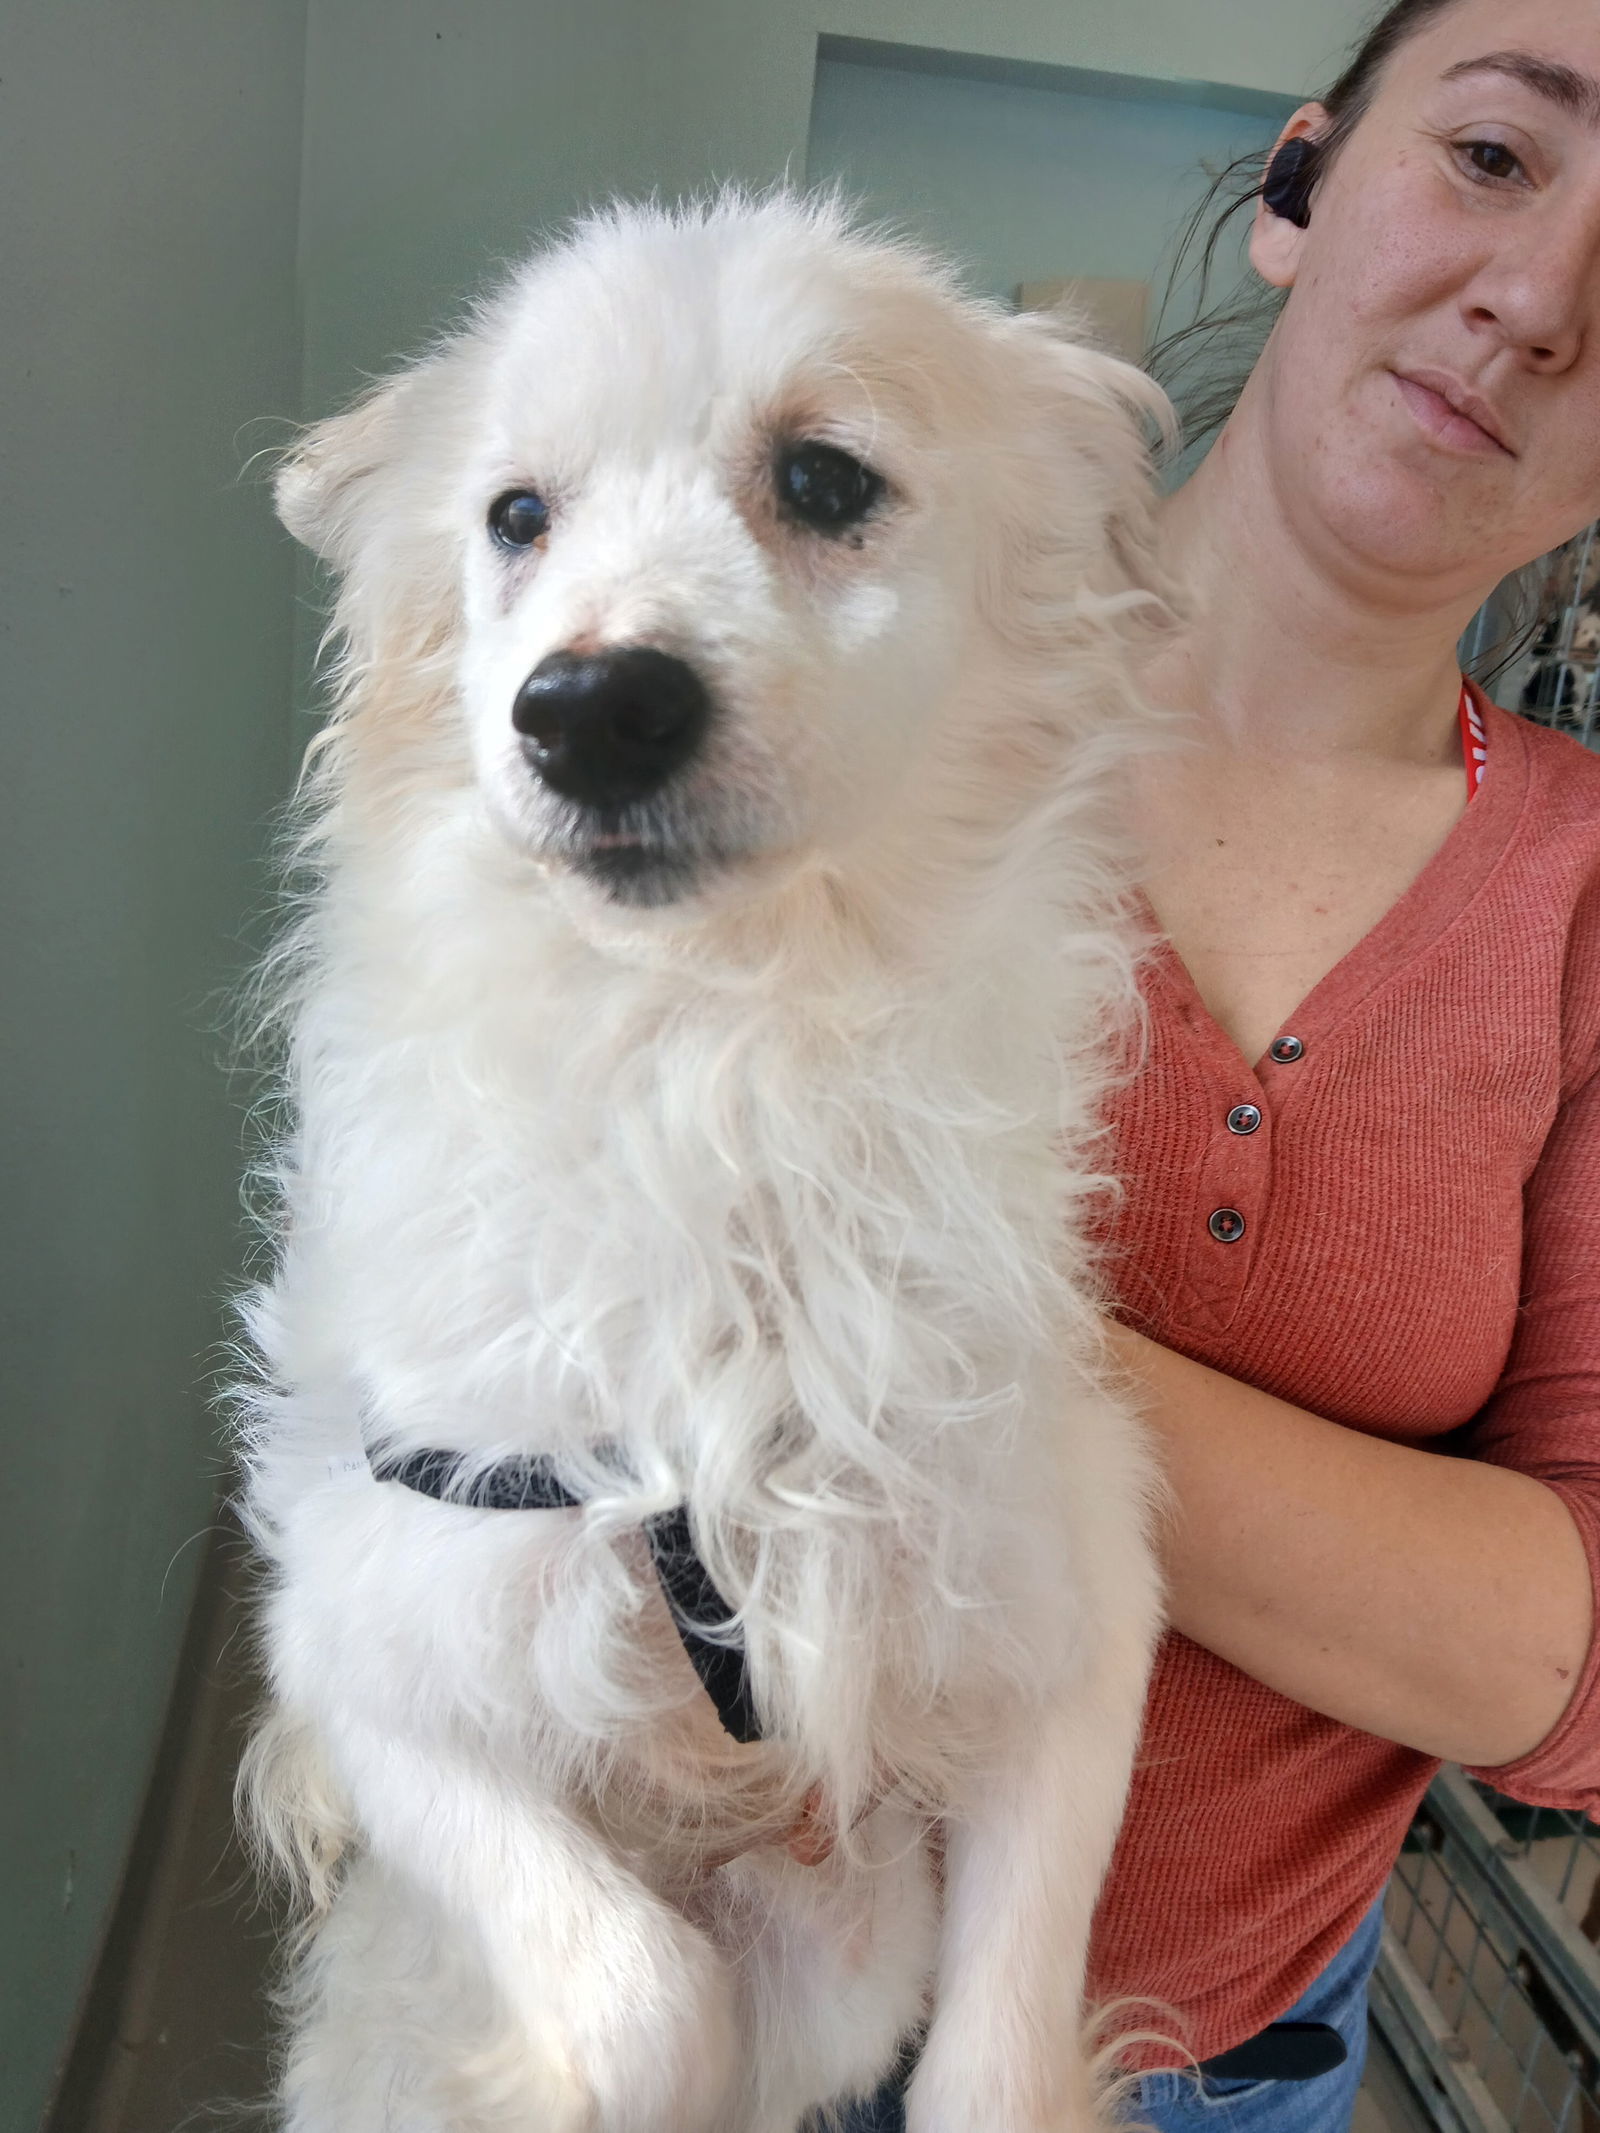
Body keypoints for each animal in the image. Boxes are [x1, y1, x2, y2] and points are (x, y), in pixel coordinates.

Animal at [247, 196, 1177, 2133]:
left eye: (824, 477)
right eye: (517, 516)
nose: (589, 709)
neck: (722, 1054)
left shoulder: (1078, 1624)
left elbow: (994, 2065)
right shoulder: (369, 1651)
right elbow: (636, 2000)